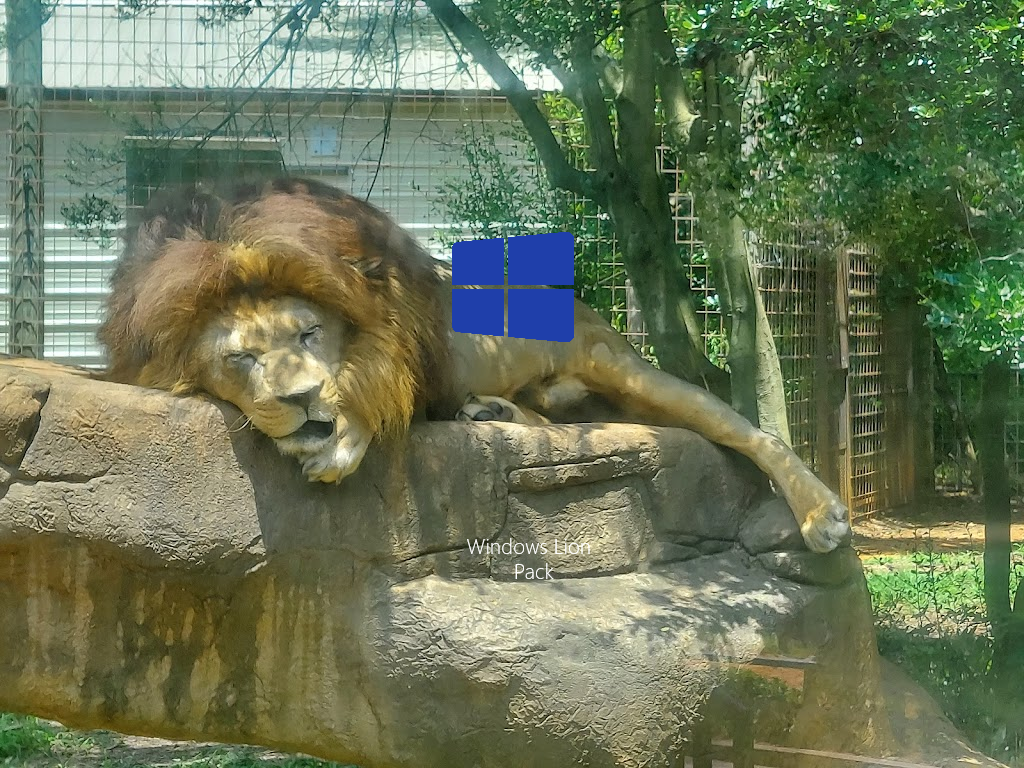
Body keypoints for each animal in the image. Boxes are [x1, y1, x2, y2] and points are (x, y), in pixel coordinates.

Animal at [98, 176, 850, 554]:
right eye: (241, 358)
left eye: (310, 334)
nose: (303, 398)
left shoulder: (397, 335)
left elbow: (375, 387)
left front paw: (340, 439)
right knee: (545, 417)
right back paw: (490, 409)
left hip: (624, 369)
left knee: (751, 431)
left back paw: (823, 516)